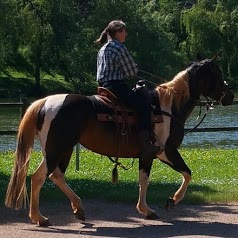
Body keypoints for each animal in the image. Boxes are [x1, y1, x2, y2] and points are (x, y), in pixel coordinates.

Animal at [4, 57, 233, 225]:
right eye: (218, 73)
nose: (229, 96)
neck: (168, 107)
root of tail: (44, 102)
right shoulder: (163, 151)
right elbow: (183, 174)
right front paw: (167, 202)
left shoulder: (149, 155)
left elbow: (147, 179)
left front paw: (149, 208)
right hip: (56, 149)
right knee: (38, 177)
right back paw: (40, 218)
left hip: (63, 149)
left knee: (56, 176)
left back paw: (78, 208)